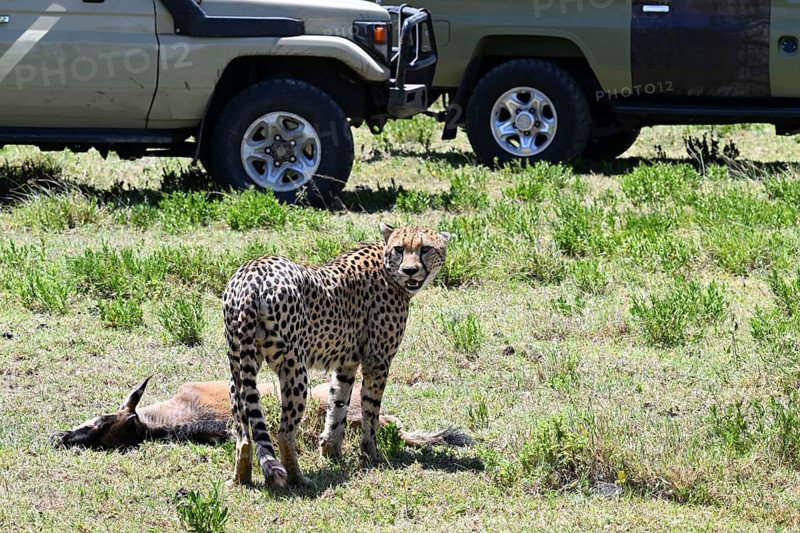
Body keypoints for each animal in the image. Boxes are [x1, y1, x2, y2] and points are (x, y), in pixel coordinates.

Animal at [223, 223, 451, 486]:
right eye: (400, 249)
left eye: (425, 248)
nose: (410, 270)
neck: (388, 268)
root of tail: (254, 271)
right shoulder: (377, 361)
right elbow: (370, 411)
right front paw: (370, 454)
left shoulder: (346, 363)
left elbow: (338, 403)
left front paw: (331, 450)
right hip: (294, 367)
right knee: (283, 432)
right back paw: (298, 479)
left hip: (239, 364)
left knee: (243, 432)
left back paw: (240, 479)